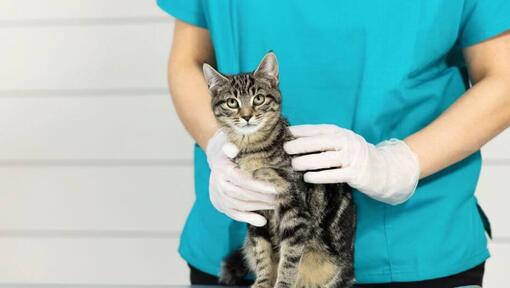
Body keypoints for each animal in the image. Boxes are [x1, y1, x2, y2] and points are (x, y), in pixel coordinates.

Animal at [202, 51, 354, 288]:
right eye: (231, 102)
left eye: (259, 99)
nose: (247, 116)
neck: (254, 149)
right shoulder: (254, 211)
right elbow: (261, 252)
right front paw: (262, 282)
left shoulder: (295, 209)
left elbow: (289, 258)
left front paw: (282, 284)